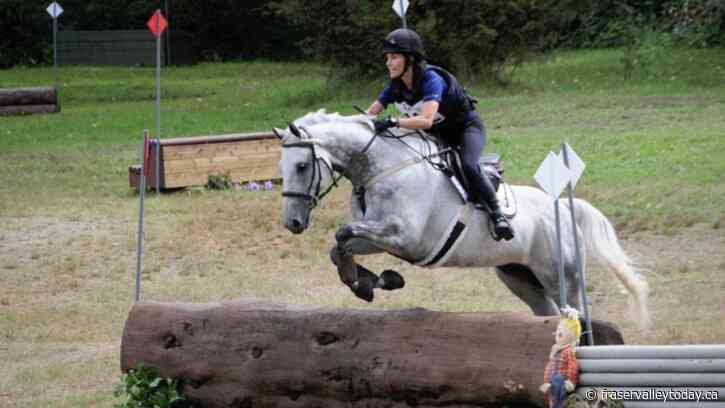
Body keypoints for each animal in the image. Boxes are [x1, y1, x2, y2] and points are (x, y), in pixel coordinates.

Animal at [272, 109, 649, 328]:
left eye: (302, 166)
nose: (293, 223)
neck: (381, 167)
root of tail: (567, 209)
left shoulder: (403, 237)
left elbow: (342, 233)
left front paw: (373, 280)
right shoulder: (380, 236)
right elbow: (340, 244)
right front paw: (366, 282)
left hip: (562, 277)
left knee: (576, 312)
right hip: (521, 278)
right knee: (548, 314)